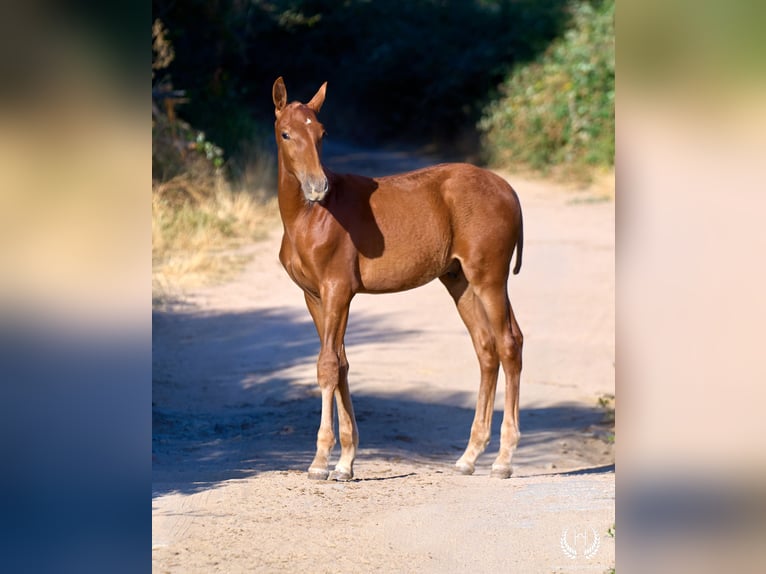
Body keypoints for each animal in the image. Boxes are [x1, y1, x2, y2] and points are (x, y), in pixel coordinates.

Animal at [271, 77, 524, 480]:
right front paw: (345, 462)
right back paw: (470, 456)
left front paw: (320, 460)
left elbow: (327, 366)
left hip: (490, 280)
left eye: (322, 133)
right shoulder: (314, 296)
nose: (318, 187)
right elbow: (341, 364)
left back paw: (503, 459)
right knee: (487, 349)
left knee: (508, 344)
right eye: (286, 133)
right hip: (461, 283)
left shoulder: (338, 290)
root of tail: (508, 190)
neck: (310, 218)